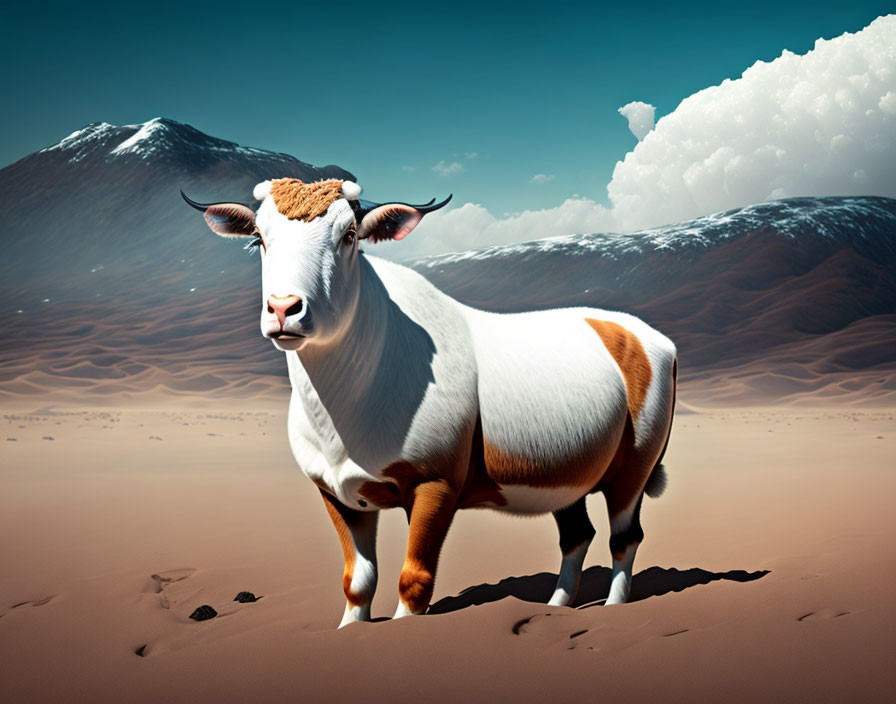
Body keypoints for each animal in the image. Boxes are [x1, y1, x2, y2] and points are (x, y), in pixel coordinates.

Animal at [186, 180, 676, 628]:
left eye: (349, 235)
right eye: (258, 238)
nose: (284, 309)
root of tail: (652, 340)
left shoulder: (434, 486)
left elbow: (414, 580)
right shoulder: (337, 494)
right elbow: (357, 582)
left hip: (632, 472)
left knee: (624, 536)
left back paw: (613, 608)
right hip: (565, 480)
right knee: (577, 533)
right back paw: (556, 608)